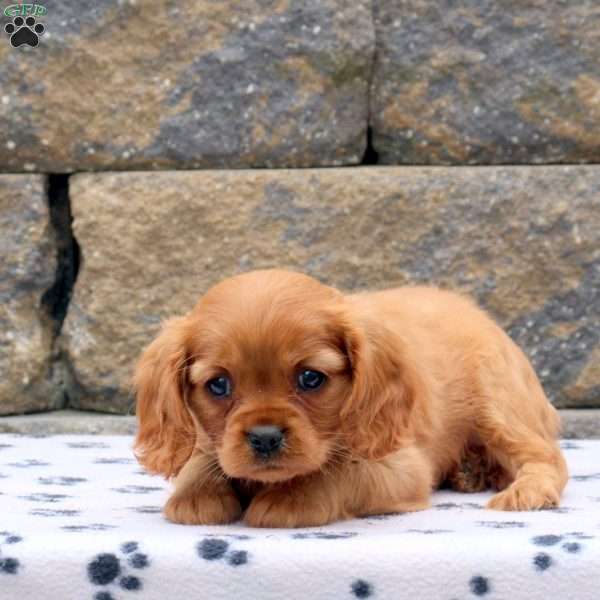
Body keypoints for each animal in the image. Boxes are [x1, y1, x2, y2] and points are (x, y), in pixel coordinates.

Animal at [135, 270, 568, 528]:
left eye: (310, 378)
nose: (265, 437)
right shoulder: (210, 443)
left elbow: (335, 472)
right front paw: (197, 495)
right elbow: (200, 462)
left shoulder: (400, 466)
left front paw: (291, 498)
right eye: (219, 385)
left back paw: (525, 492)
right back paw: (470, 471)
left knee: (547, 458)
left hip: (498, 403)